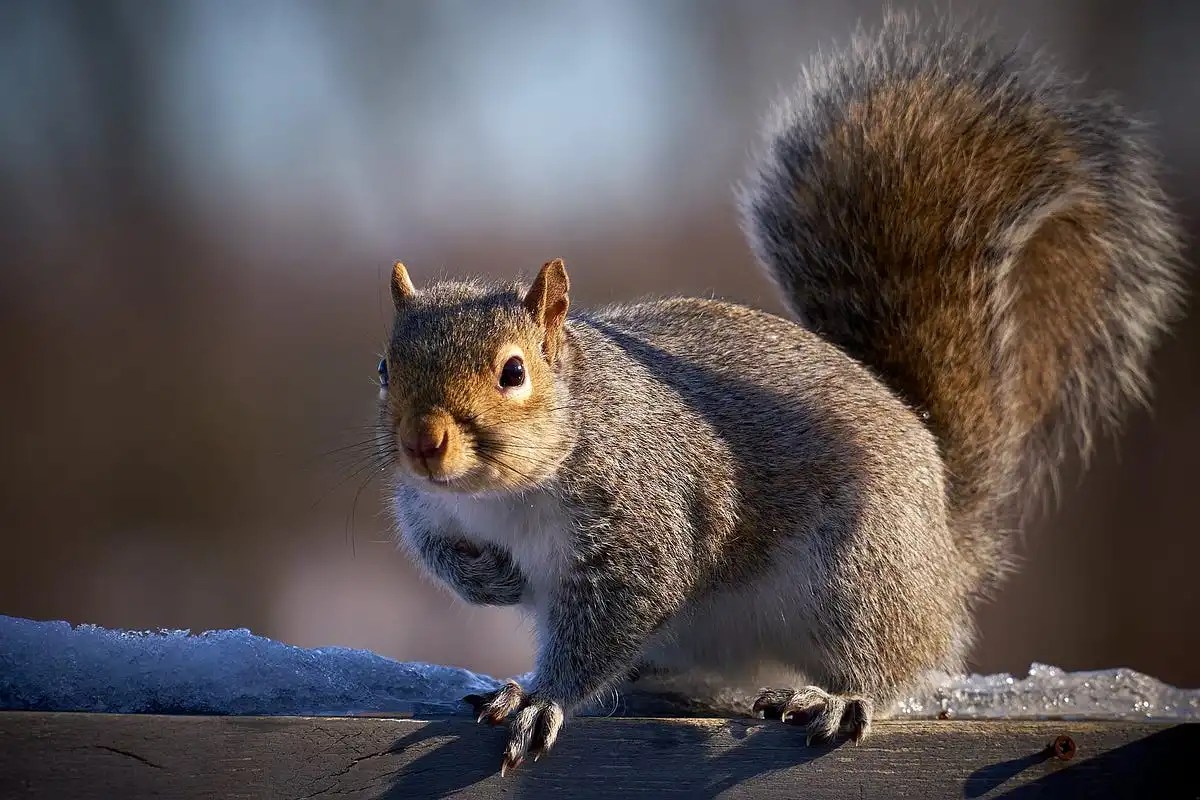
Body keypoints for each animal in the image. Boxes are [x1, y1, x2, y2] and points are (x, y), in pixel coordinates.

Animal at [376, 15, 1185, 774]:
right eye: (385, 368)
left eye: (514, 373)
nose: (423, 444)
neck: (503, 492)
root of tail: (945, 547)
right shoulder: (427, 506)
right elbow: (436, 551)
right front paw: (491, 582)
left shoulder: (646, 521)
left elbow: (615, 614)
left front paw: (541, 698)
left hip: (861, 573)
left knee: (891, 662)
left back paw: (840, 697)